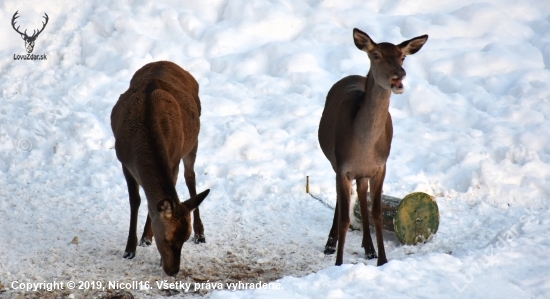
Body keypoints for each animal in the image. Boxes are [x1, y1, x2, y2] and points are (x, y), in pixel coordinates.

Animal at [111, 61, 210, 276]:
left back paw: (200, 234)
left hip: (193, 142)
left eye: (184, 239)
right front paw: (130, 249)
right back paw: (144, 238)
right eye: (166, 239)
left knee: (191, 178)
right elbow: (136, 201)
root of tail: (167, 62)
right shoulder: (123, 161)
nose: (173, 271)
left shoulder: (173, 160)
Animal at [316, 28, 430, 268]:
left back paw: (369, 248)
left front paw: (382, 259)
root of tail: (351, 76)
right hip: (334, 161)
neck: (364, 149)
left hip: (362, 173)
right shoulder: (343, 167)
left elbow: (376, 212)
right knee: (343, 199)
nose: (400, 73)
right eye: (376, 55)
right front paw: (338, 263)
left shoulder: (380, 167)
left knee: (361, 194)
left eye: (402, 56)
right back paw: (331, 244)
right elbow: (345, 217)